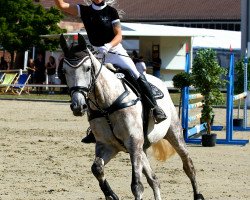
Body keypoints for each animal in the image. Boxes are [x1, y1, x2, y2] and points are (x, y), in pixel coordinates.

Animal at [59, 34, 204, 200]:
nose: (78, 106)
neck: (107, 105)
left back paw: (198, 194)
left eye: (88, 68)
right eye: (64, 71)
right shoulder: (108, 146)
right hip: (142, 148)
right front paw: (111, 195)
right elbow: (97, 168)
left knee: (188, 165)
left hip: (174, 133)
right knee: (154, 180)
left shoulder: (133, 142)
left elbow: (136, 186)